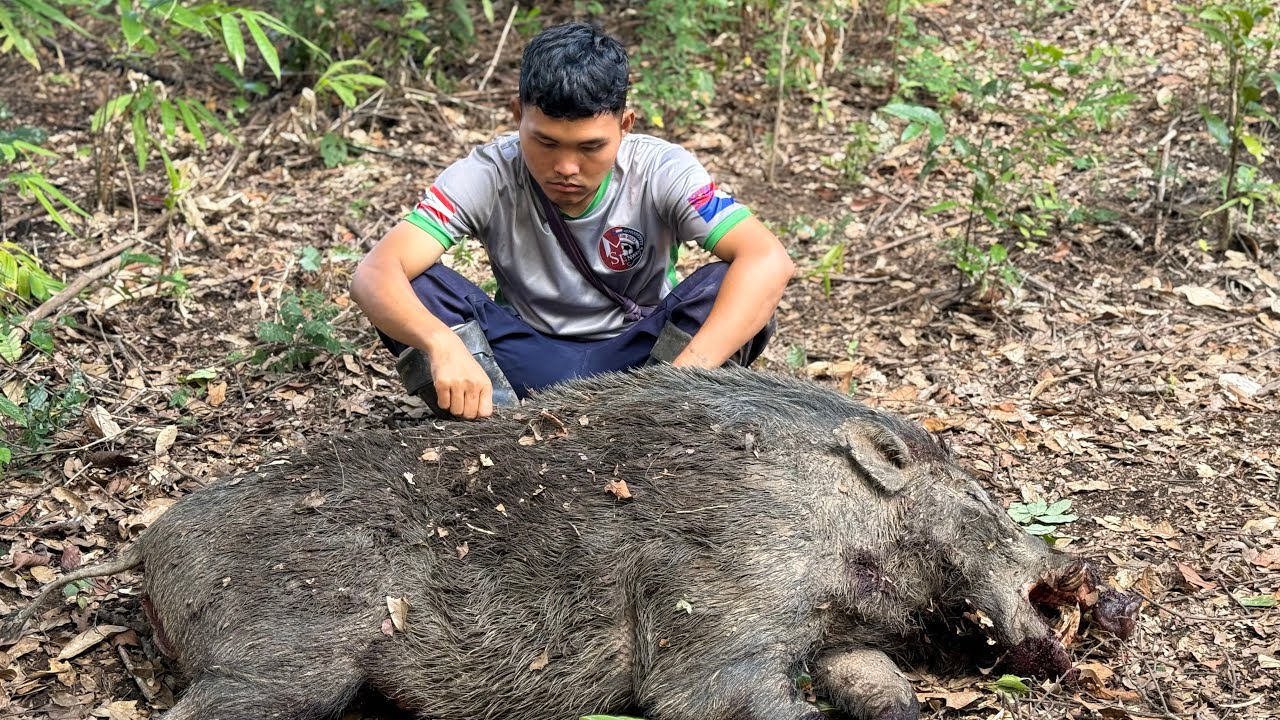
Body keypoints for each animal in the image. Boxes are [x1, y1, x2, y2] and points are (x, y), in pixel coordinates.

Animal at [5, 365, 1138, 720]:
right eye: (979, 492)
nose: (1111, 590)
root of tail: (147, 548)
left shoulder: (833, 637)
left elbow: (879, 689)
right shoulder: (716, 609)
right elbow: (715, 698)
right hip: (282, 656)